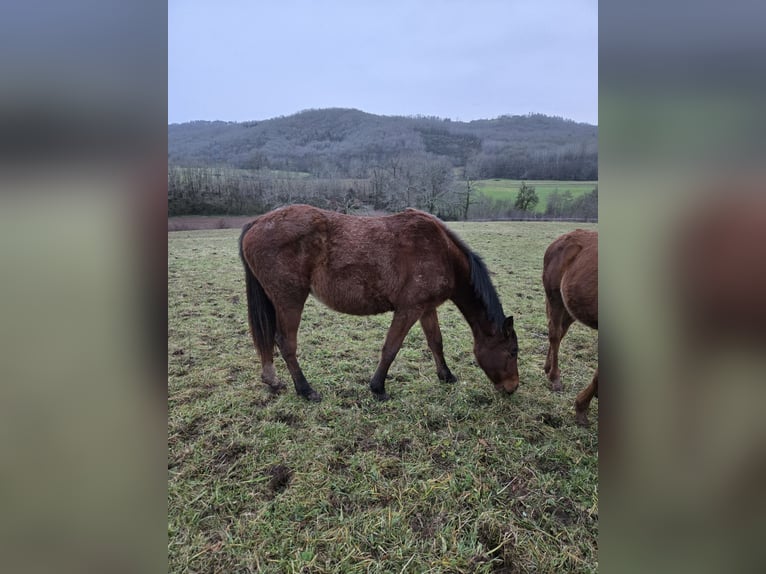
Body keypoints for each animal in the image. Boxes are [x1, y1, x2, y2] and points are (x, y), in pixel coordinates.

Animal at [238, 204, 519, 402]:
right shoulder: (409, 309)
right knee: (286, 343)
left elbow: (436, 343)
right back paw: (305, 390)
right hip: (290, 300)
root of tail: (257, 222)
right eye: (512, 352)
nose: (512, 387)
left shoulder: (426, 309)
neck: (443, 253)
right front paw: (378, 388)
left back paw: (273, 380)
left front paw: (446, 375)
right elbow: (391, 348)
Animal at [542, 229, 598, 425]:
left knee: (559, 332)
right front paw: (581, 408)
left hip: (571, 306)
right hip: (555, 298)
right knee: (555, 333)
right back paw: (554, 377)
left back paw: (548, 368)